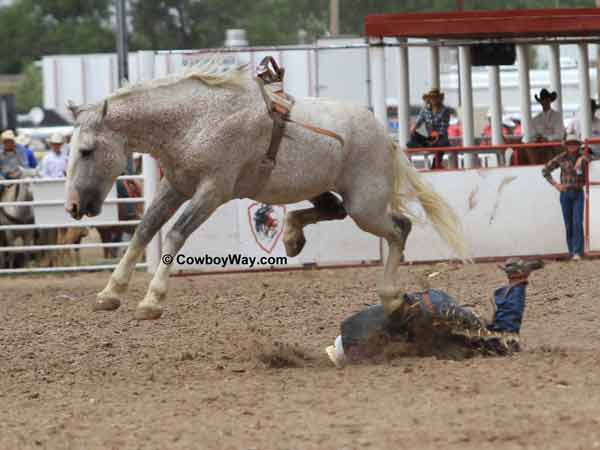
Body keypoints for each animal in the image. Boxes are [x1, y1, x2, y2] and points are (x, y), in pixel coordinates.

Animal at [65, 60, 468, 320]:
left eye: (86, 150)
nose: (72, 206)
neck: (196, 119)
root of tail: (388, 138)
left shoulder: (213, 190)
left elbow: (176, 234)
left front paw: (151, 301)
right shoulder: (175, 185)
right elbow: (145, 230)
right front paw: (110, 292)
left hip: (365, 206)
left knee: (400, 228)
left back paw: (391, 298)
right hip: (326, 190)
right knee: (334, 211)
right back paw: (292, 238)